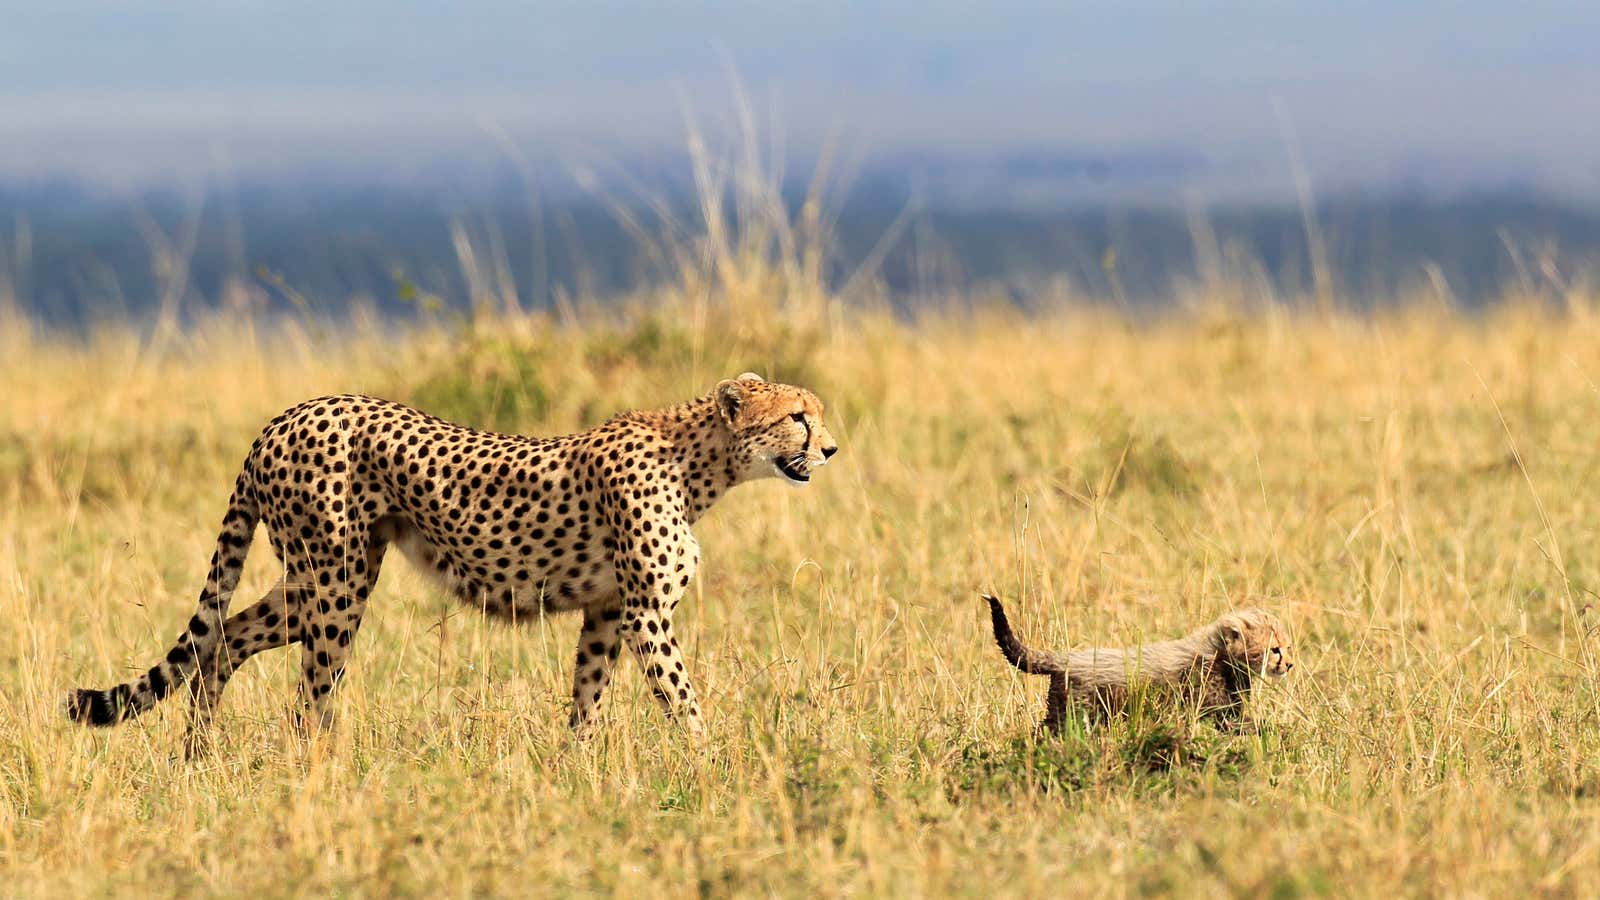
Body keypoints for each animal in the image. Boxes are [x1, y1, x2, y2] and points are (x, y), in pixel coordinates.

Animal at [62, 368, 838, 746]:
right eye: (798, 416)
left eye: (818, 413)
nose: (830, 448)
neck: (701, 461)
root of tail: (283, 417)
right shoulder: (646, 613)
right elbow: (682, 700)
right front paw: (711, 769)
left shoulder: (607, 613)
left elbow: (587, 700)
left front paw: (575, 772)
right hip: (334, 582)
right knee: (308, 696)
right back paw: (320, 771)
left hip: (318, 578)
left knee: (221, 639)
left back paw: (198, 754)